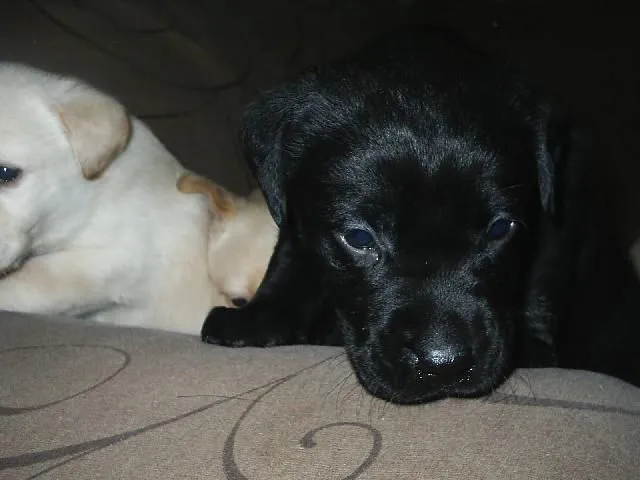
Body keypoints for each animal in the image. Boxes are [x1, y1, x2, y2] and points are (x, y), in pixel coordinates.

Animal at [201, 24, 640, 404]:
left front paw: (531, 347)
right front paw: (260, 317)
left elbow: (540, 280)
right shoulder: (298, 213)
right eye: (359, 238)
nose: (444, 364)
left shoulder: (560, 206)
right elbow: (290, 258)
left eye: (500, 229)